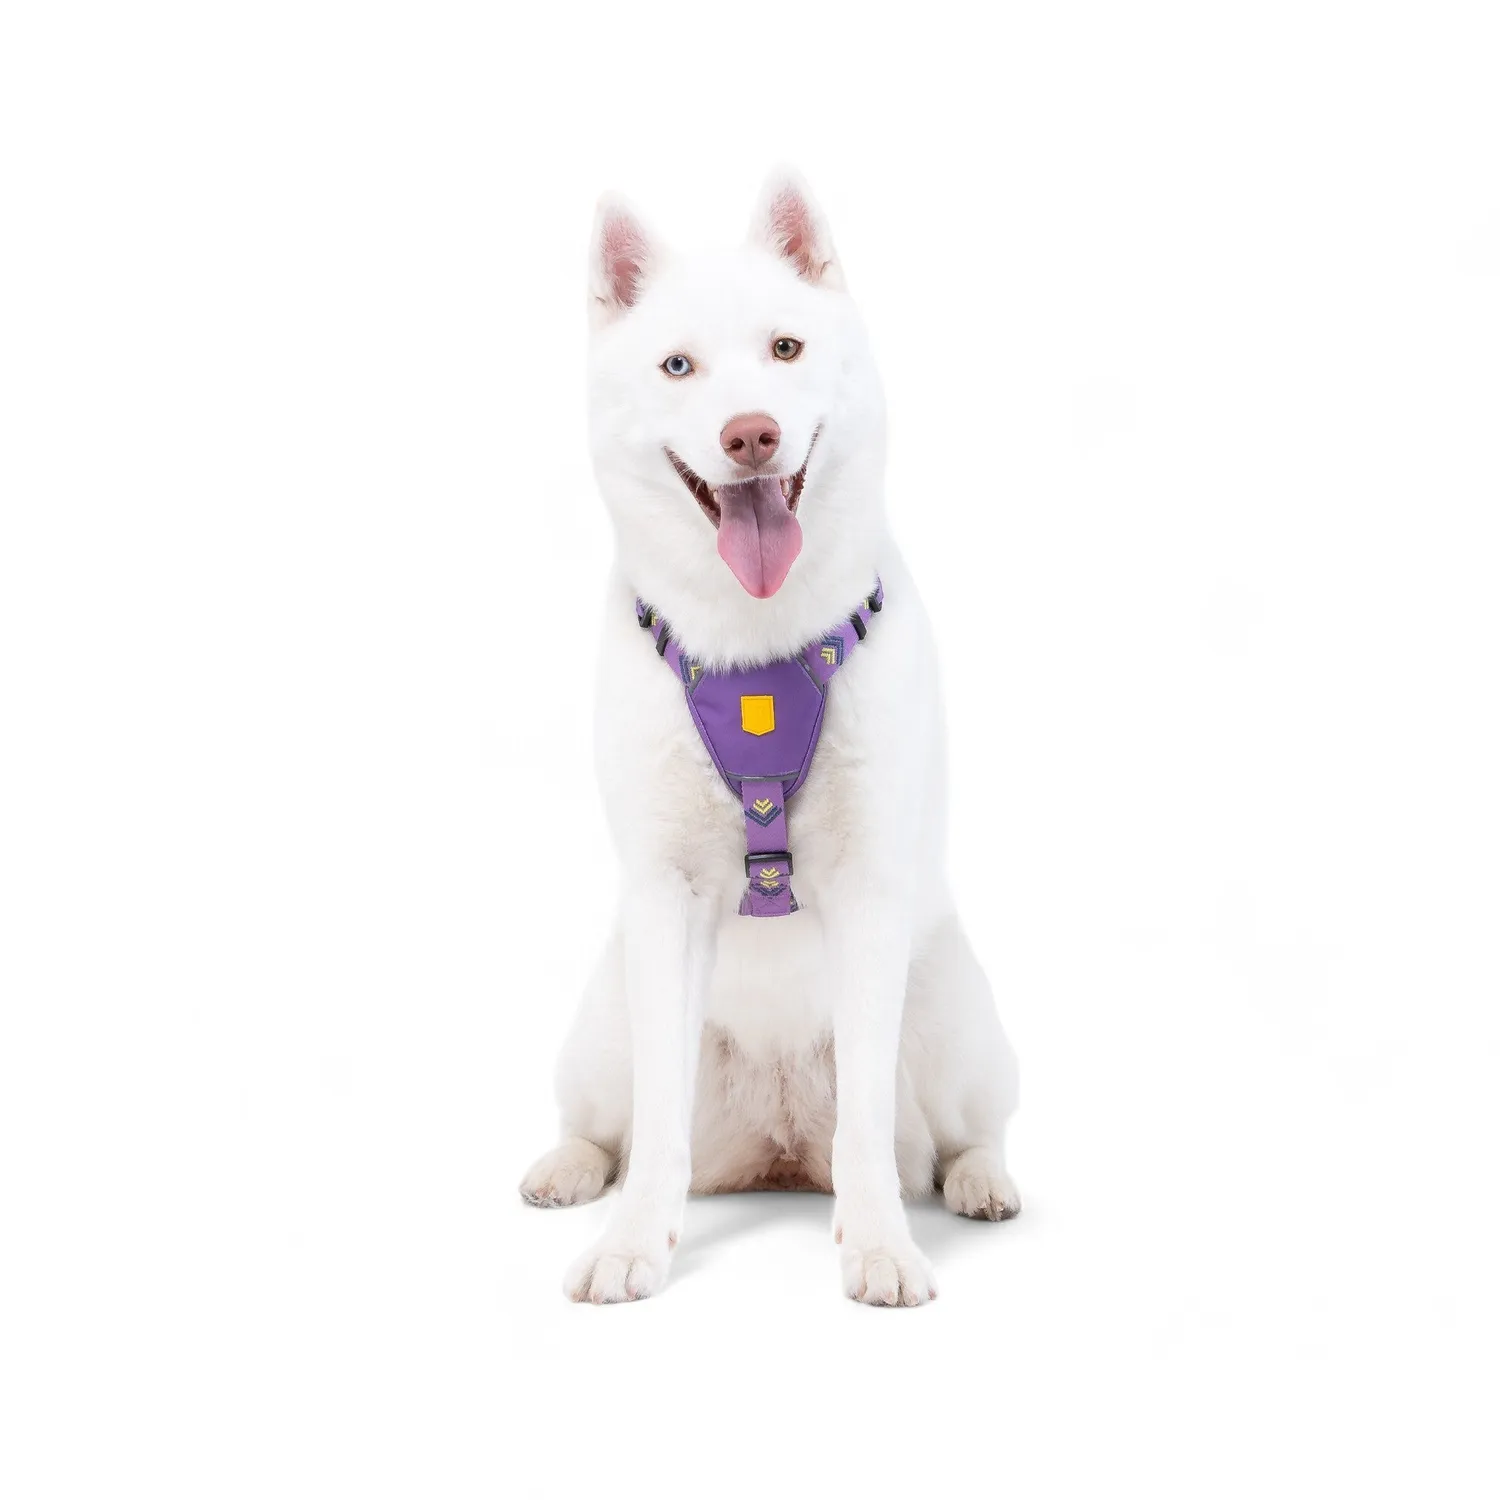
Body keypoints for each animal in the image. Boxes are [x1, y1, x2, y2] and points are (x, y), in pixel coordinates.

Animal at [518, 173, 1020, 1305]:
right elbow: (656, 1126)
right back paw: (568, 1169)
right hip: (602, 1024)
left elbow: (870, 1126)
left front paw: (879, 1243)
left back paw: (979, 1182)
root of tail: (779, 1145)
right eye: (678, 366)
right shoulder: (665, 900)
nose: (750, 434)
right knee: (607, 1122)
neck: (753, 650)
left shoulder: (871, 891)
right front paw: (632, 1242)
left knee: (957, 1133)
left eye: (786, 349)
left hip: (959, 1021)